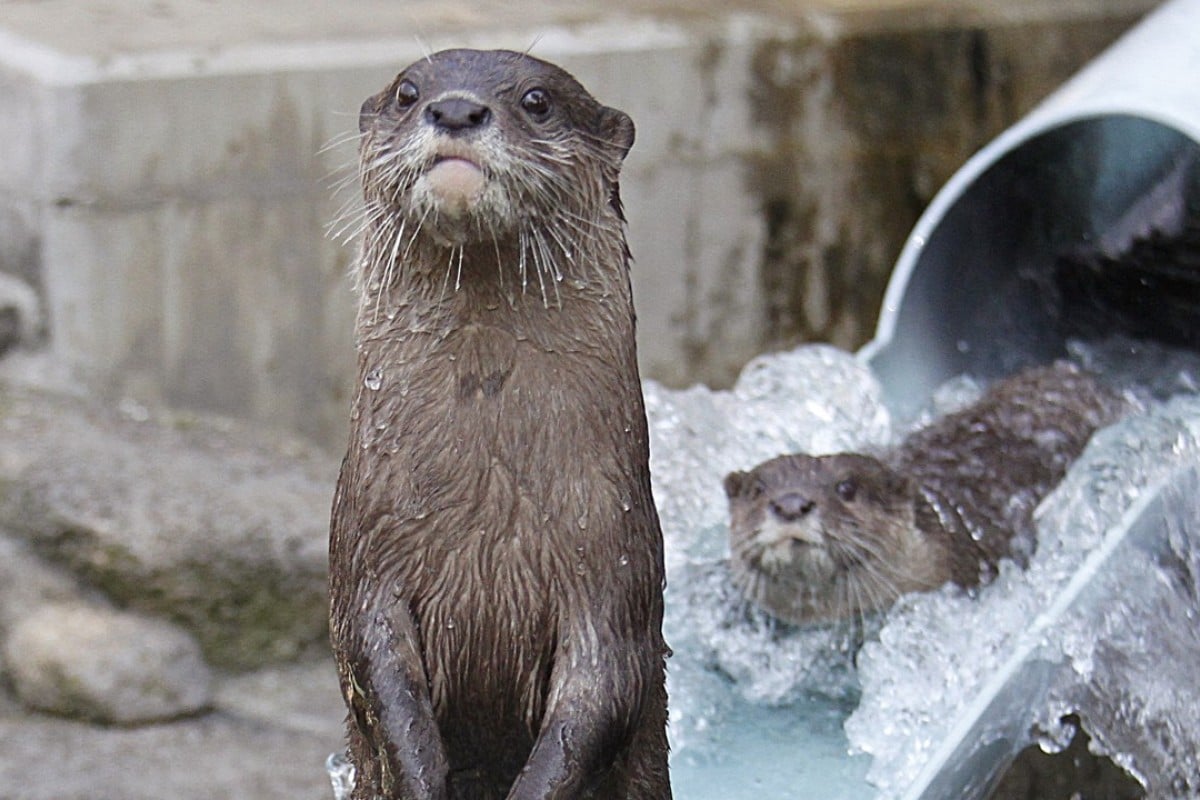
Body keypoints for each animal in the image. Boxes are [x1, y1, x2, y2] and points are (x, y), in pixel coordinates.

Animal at [326, 51, 676, 800]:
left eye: (537, 101)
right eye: (408, 92)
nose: (456, 109)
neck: (486, 509)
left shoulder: (616, 576)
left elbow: (599, 697)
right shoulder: (363, 554)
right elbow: (375, 675)